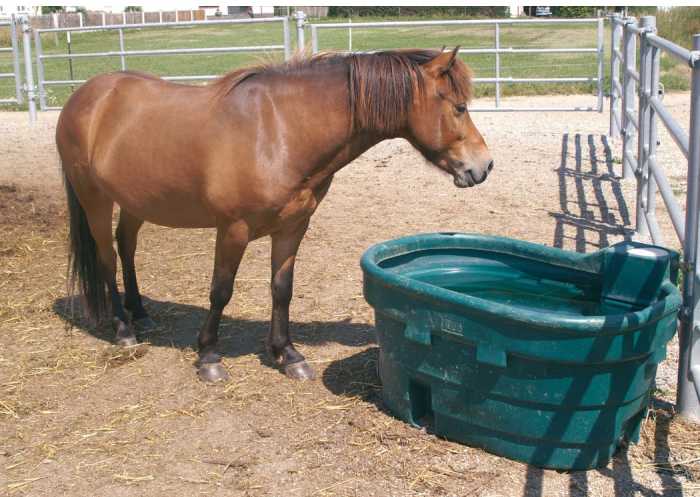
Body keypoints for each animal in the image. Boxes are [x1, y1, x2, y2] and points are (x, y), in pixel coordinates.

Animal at [57, 47, 492, 380]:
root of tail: (87, 96)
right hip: (95, 199)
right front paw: (209, 356)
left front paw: (287, 354)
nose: (483, 166)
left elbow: (282, 289)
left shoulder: (292, 227)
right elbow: (221, 291)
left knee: (126, 247)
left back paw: (141, 314)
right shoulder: (232, 229)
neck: (280, 132)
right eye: (459, 107)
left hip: (136, 200)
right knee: (107, 257)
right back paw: (124, 329)